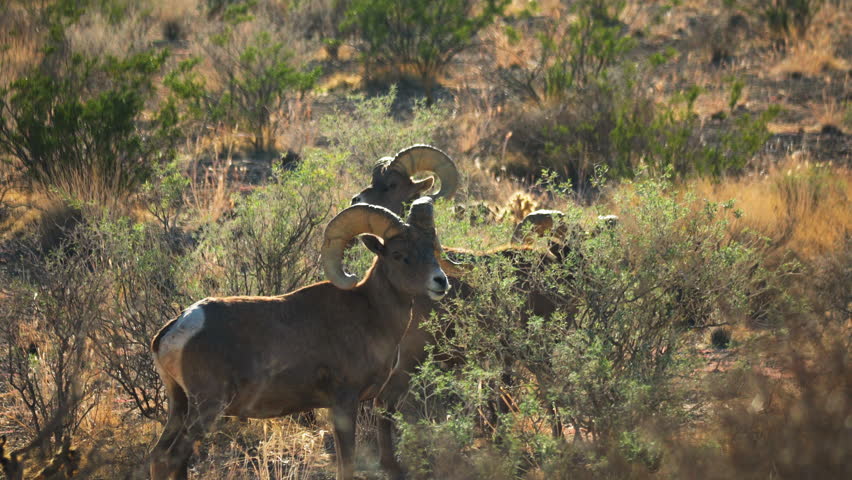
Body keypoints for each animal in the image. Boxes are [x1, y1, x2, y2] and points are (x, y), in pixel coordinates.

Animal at [148, 199, 450, 480]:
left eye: (431, 249)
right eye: (399, 254)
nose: (440, 281)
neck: (370, 313)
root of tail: (174, 330)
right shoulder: (344, 403)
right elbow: (346, 465)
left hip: (179, 405)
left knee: (160, 455)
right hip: (206, 407)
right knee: (174, 456)